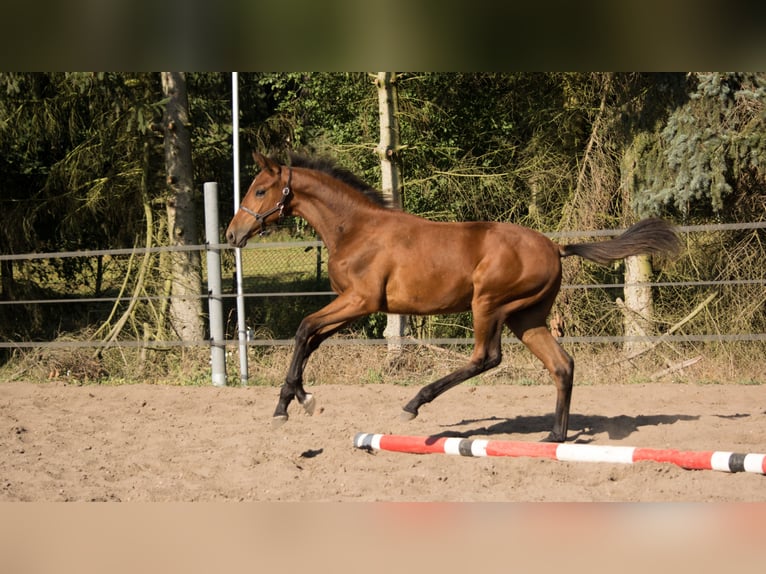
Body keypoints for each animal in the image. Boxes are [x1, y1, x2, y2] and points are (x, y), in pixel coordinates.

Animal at [225, 152, 680, 440]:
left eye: (260, 191)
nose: (232, 234)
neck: (355, 230)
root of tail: (555, 247)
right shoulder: (353, 306)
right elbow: (312, 339)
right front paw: (301, 400)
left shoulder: (360, 301)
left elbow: (304, 329)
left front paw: (287, 406)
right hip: (528, 317)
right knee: (562, 364)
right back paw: (554, 437)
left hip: (489, 305)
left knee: (486, 357)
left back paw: (414, 403)